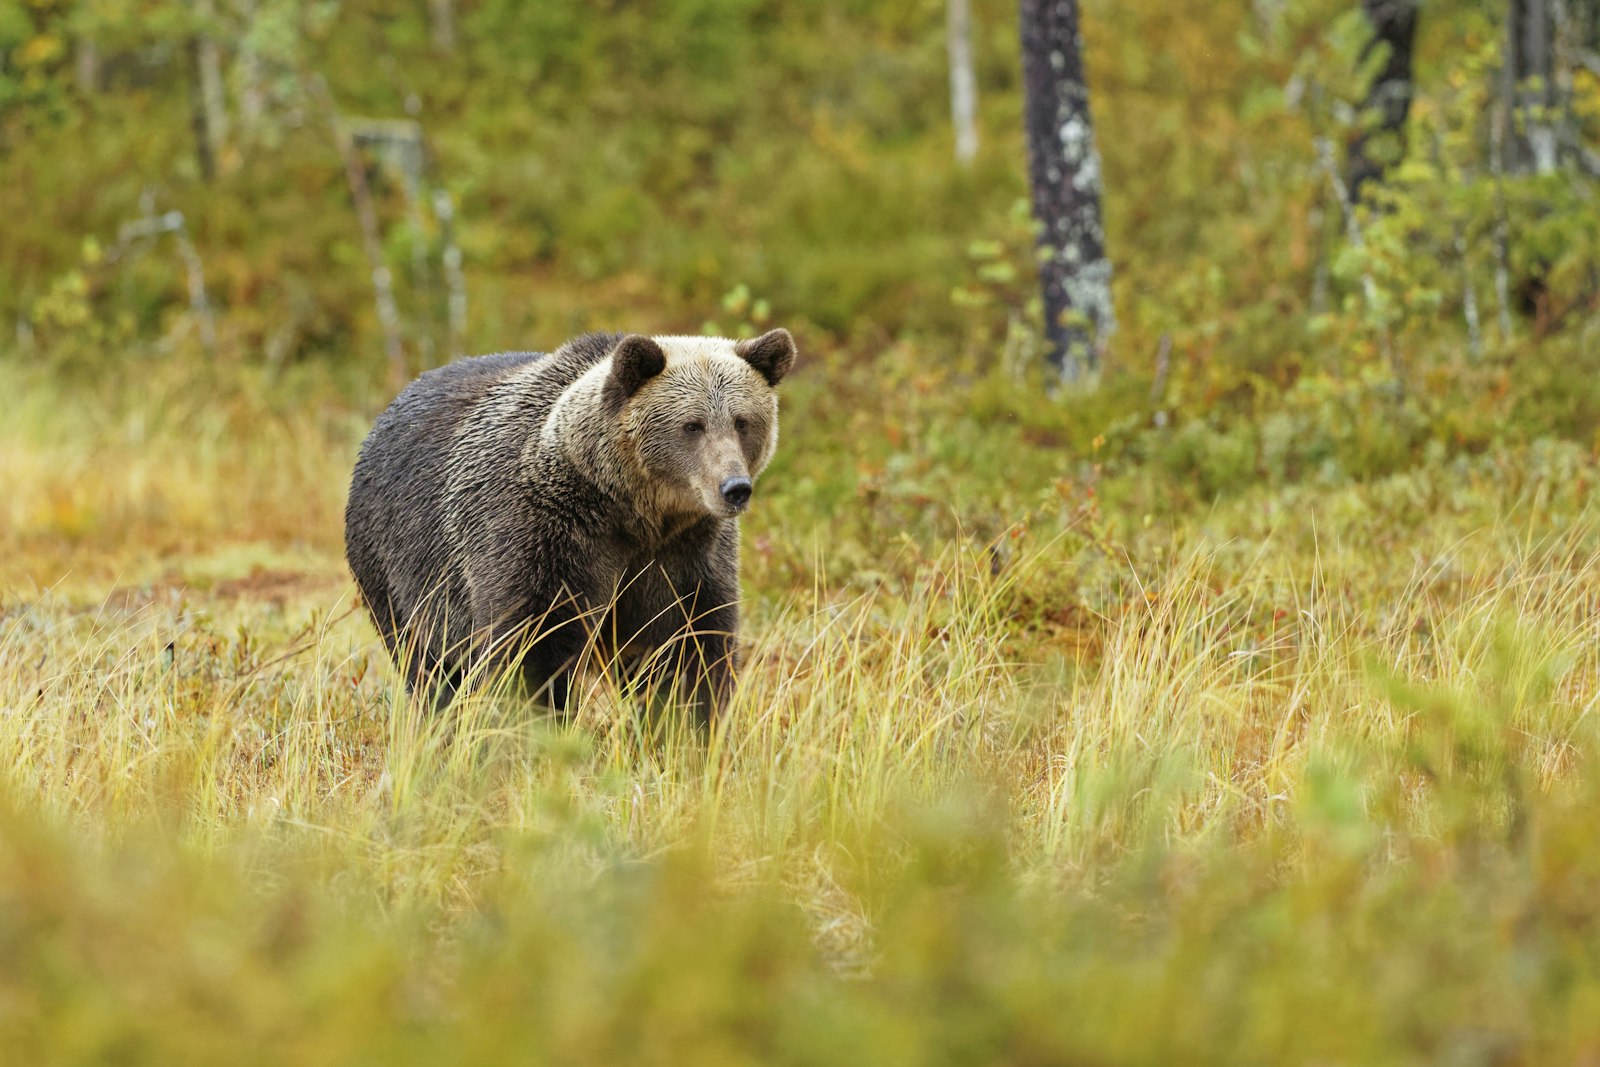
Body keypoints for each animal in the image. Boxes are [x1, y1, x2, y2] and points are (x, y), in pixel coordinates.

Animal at [350, 327, 800, 716]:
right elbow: (534, 643)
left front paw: (685, 727)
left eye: (742, 421)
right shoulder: (541, 532)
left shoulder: (685, 553)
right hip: (399, 567)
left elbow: (688, 647)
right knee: (430, 666)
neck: (632, 512)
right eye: (692, 425)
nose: (735, 487)